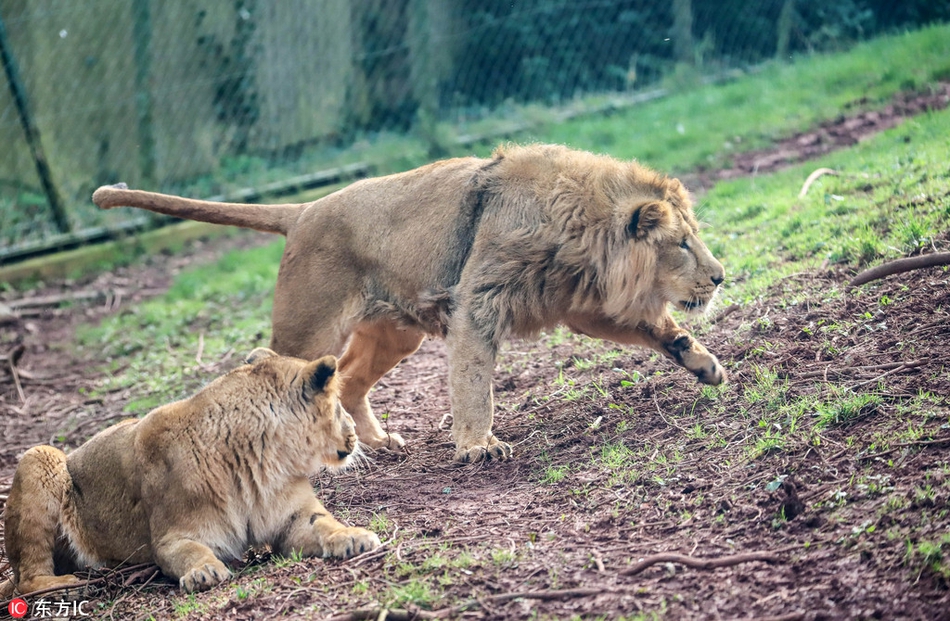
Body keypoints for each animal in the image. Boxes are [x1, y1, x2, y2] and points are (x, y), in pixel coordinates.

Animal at [0, 346, 380, 592]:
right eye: (338, 406)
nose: (354, 430)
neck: (264, 460)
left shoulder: (293, 518)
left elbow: (325, 524)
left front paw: (354, 537)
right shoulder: (171, 536)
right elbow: (191, 551)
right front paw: (204, 572)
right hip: (40, 454)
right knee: (25, 581)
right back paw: (63, 584)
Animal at [93, 145, 724, 462]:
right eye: (682, 244)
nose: (720, 277)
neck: (583, 228)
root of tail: (302, 209)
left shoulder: (583, 304)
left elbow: (659, 328)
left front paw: (705, 364)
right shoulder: (478, 303)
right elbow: (474, 383)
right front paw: (477, 446)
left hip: (398, 330)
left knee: (347, 381)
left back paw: (375, 442)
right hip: (308, 330)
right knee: (278, 371)